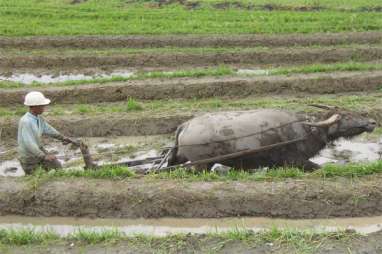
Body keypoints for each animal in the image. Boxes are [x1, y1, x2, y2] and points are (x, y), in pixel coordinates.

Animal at [169, 105, 378, 171]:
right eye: (347, 116)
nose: (373, 122)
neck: (305, 130)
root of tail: (186, 125)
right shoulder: (296, 161)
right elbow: (319, 168)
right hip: (201, 164)